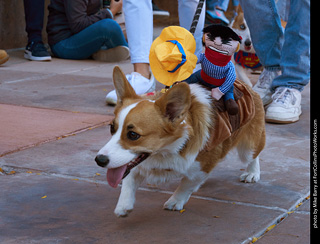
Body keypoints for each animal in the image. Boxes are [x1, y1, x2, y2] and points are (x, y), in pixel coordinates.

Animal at [95, 66, 264, 216]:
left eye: (133, 135)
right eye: (112, 128)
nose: (99, 160)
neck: (165, 151)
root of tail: (246, 86)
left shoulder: (202, 166)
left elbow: (186, 185)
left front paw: (175, 201)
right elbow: (128, 179)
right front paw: (124, 205)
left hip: (247, 150)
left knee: (254, 155)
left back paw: (252, 173)